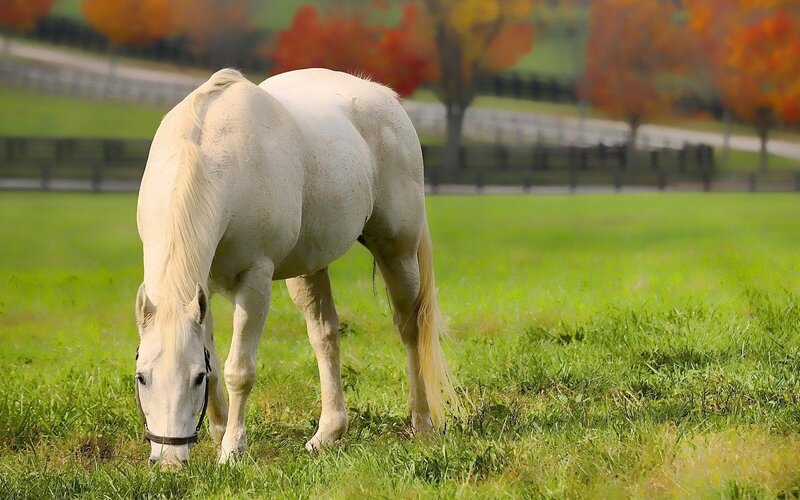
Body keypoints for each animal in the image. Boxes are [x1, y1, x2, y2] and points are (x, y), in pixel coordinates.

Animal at [134, 68, 458, 466]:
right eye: (141, 377)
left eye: (195, 378)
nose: (168, 460)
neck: (211, 160)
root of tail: (386, 98)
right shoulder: (201, 287)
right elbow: (217, 358)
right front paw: (219, 433)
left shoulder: (255, 280)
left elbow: (239, 369)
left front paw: (232, 449)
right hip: (310, 269)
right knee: (325, 336)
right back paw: (328, 433)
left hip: (398, 252)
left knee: (412, 329)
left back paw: (421, 422)